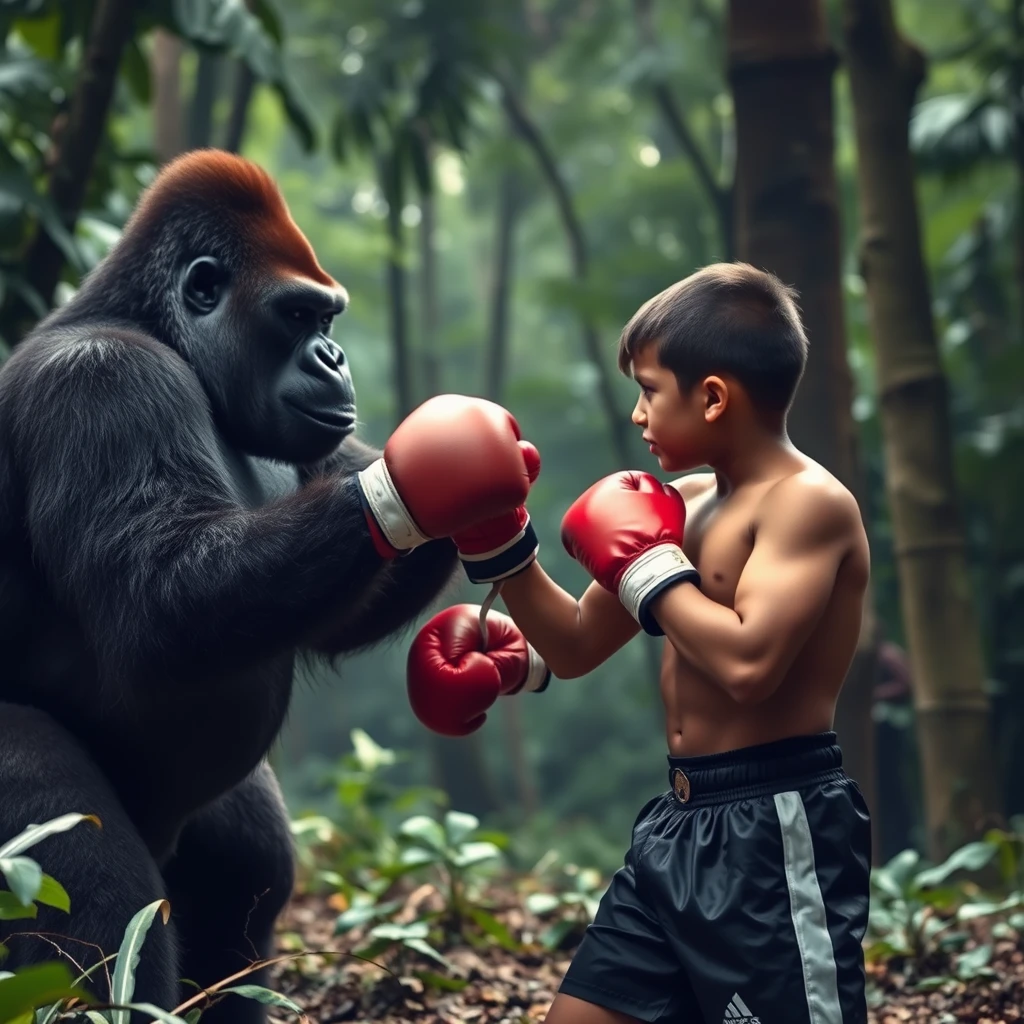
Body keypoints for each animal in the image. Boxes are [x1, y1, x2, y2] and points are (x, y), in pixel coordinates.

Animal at [0, 151, 460, 1024]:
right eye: (299, 316)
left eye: (329, 321)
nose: (334, 359)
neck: (155, 329)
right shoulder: (102, 382)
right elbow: (163, 603)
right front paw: (424, 474)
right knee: (99, 913)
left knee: (250, 870)